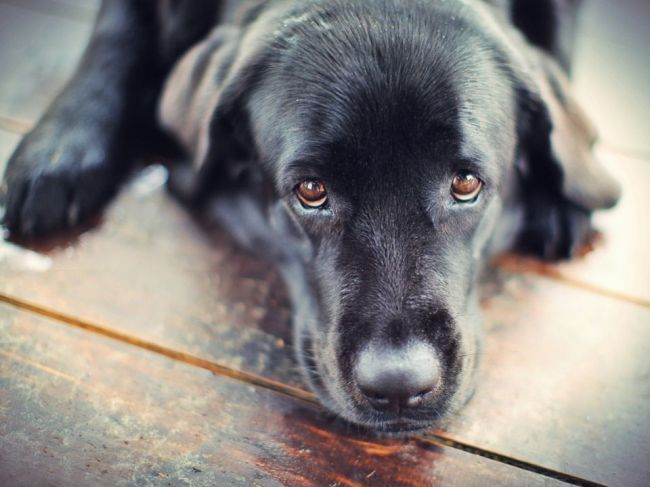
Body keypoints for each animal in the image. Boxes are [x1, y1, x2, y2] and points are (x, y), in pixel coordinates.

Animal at [0, 0, 616, 434]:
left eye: (466, 183)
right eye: (311, 191)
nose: (398, 385)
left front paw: (564, 193)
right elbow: (115, 35)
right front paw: (58, 152)